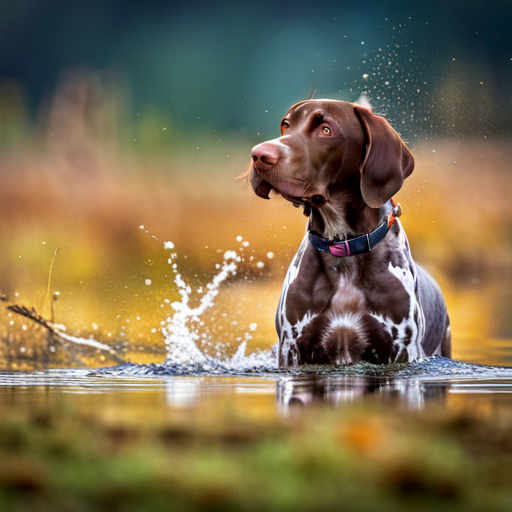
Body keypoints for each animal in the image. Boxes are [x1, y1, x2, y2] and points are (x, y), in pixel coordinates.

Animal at [250, 100, 450, 366]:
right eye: (286, 124)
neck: (343, 247)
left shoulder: (403, 350)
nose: (258, 155)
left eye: (326, 130)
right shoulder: (290, 348)